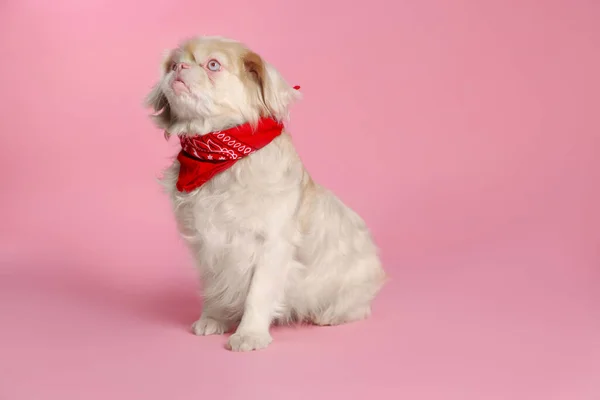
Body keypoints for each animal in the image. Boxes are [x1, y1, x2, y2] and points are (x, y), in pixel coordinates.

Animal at [148, 36, 386, 350]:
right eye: (173, 64)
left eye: (213, 65)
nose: (179, 68)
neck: (219, 157)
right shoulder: (209, 245)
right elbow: (215, 286)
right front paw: (214, 318)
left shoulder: (271, 245)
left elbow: (257, 295)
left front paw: (249, 334)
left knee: (358, 307)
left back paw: (330, 315)